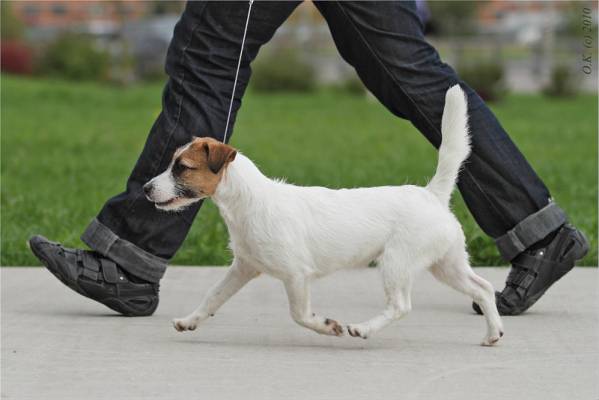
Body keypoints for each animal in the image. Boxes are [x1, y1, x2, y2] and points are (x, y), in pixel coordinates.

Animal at [144, 85, 504, 345]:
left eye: (182, 168)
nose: (146, 188)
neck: (250, 202)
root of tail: (432, 194)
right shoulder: (243, 268)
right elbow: (213, 297)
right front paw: (190, 320)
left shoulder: (296, 276)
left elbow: (299, 314)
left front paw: (328, 326)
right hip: (447, 264)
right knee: (483, 288)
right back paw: (493, 334)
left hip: (396, 262)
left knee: (401, 306)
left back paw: (363, 328)